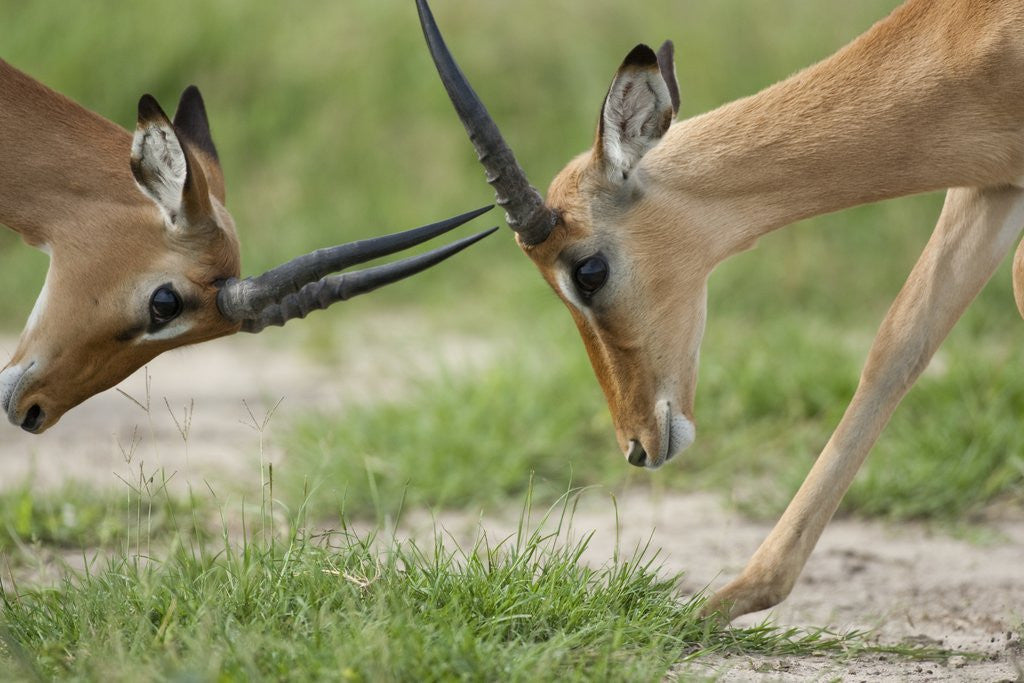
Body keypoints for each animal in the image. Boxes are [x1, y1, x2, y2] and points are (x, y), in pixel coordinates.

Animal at [416, 0, 1024, 621]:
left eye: (588, 272)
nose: (637, 446)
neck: (967, 31)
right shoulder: (992, 187)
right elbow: (899, 346)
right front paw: (726, 601)